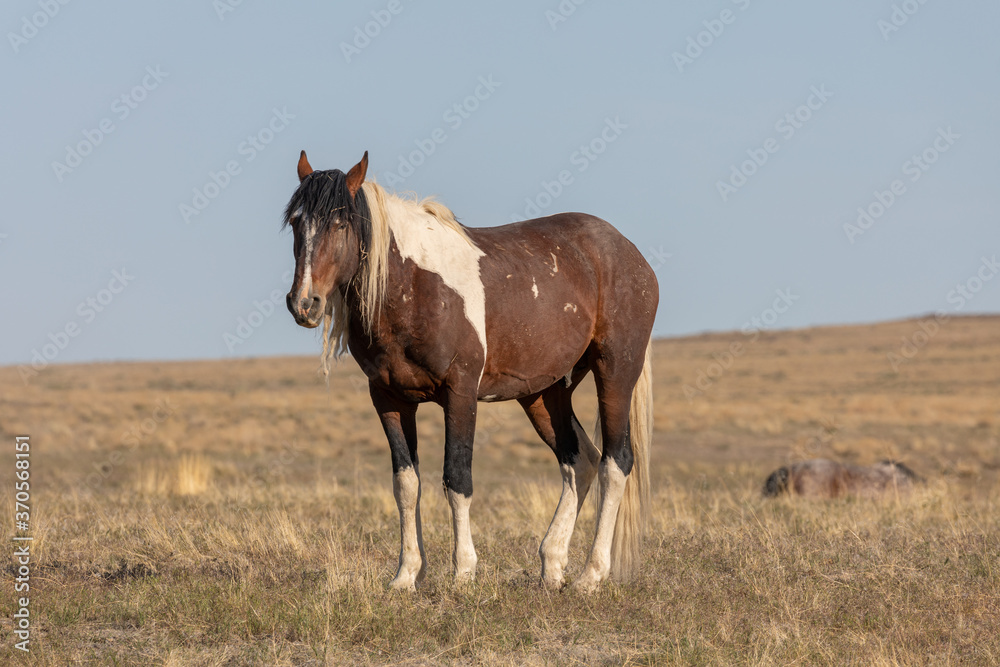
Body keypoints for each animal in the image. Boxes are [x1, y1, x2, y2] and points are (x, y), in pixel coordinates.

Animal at [281, 151, 658, 592]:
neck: (413, 286)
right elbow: (406, 485)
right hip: (545, 392)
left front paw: (464, 573)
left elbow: (457, 479)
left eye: (340, 224)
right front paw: (406, 575)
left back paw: (590, 575)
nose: (304, 303)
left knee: (615, 463)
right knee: (579, 460)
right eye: (296, 223)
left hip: (615, 371)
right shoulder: (389, 399)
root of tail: (629, 253)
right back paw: (552, 566)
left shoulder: (459, 393)